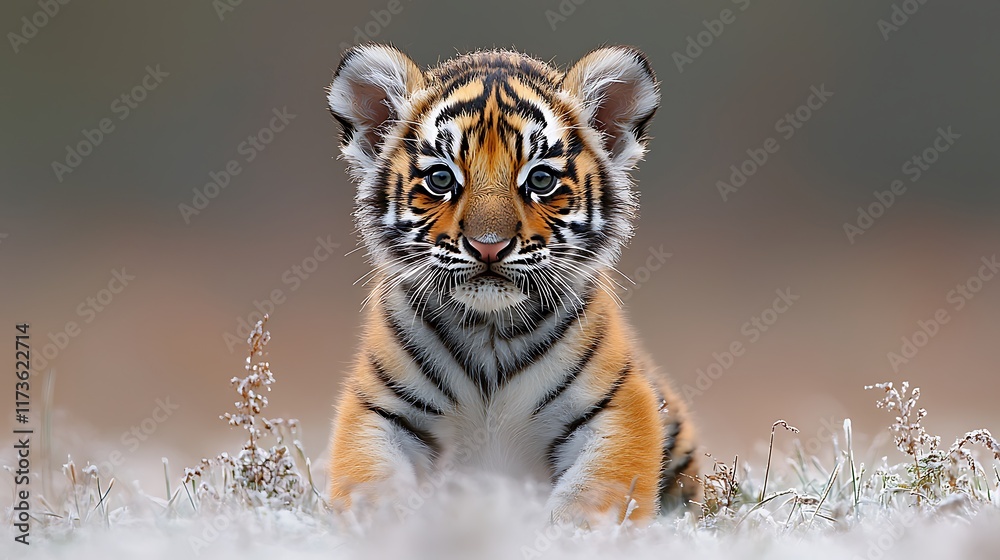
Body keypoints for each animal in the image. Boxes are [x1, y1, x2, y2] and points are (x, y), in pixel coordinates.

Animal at [325, 43, 699, 525]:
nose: (489, 246)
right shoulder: (379, 408)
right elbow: (370, 485)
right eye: (441, 179)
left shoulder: (618, 406)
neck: (489, 332)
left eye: (540, 179)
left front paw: (567, 532)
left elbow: (593, 494)